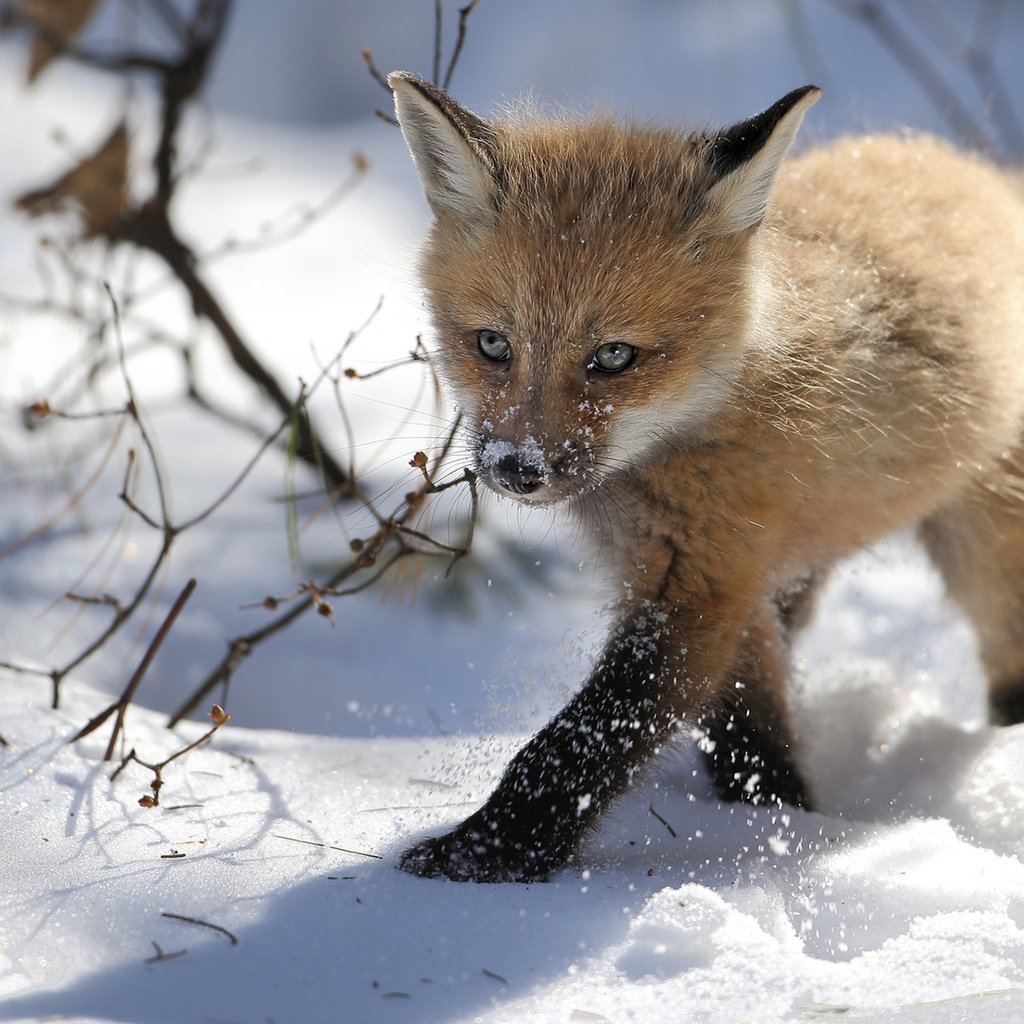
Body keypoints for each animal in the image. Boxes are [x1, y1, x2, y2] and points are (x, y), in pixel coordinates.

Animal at [385, 72, 1024, 884]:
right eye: (493, 344)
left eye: (615, 356)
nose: (517, 470)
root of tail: (977, 172)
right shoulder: (726, 579)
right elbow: (747, 734)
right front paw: (775, 818)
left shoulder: (700, 585)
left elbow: (577, 744)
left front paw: (483, 854)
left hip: (988, 554)